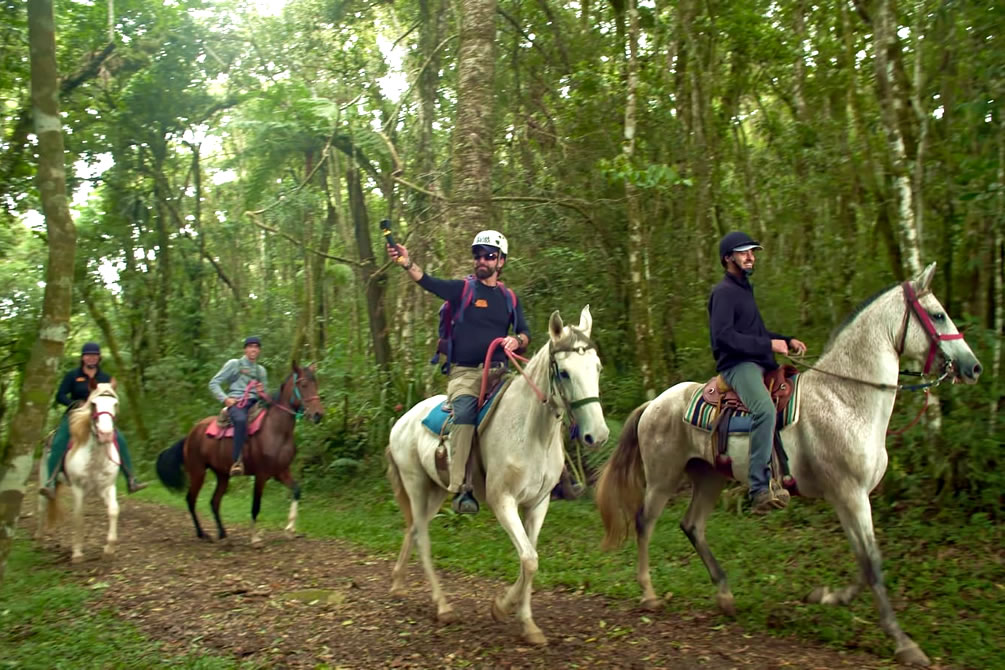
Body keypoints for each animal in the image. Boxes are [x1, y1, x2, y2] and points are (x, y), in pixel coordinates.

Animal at [36, 381, 122, 566]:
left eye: (115, 404)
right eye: (93, 404)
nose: (105, 435)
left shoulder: (107, 487)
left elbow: (113, 510)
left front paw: (109, 549)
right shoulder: (77, 488)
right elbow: (78, 516)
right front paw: (77, 553)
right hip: (44, 480)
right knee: (42, 507)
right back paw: (38, 541)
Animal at [155, 363, 325, 542]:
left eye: (316, 383)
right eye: (303, 384)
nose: (318, 414)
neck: (276, 430)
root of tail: (189, 435)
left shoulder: (281, 472)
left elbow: (296, 490)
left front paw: (290, 528)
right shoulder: (261, 474)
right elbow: (256, 505)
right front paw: (255, 538)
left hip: (222, 475)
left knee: (214, 502)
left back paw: (222, 533)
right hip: (197, 472)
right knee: (191, 499)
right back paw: (202, 533)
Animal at [383, 305, 607, 642]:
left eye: (597, 368)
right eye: (564, 372)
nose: (598, 435)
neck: (532, 431)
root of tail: (401, 421)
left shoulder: (538, 504)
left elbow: (530, 558)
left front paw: (527, 624)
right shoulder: (503, 501)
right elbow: (529, 560)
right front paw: (502, 607)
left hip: (436, 491)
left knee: (412, 530)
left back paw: (397, 583)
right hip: (416, 485)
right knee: (422, 537)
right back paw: (443, 607)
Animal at [594, 265, 980, 666]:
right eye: (938, 314)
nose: (974, 367)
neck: (845, 398)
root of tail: (654, 403)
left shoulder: (853, 497)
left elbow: (865, 560)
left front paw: (824, 596)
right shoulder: (848, 493)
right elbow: (871, 563)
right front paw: (904, 643)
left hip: (710, 478)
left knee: (693, 526)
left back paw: (725, 596)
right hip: (662, 478)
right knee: (645, 522)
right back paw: (649, 594)